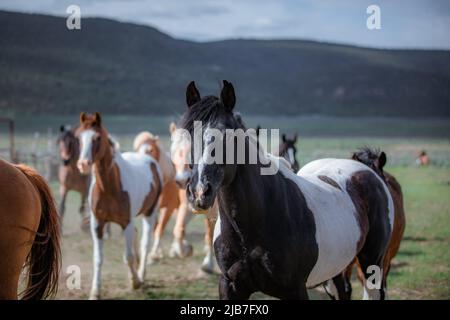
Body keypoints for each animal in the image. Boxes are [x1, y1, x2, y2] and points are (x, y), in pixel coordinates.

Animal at [75, 112, 162, 300]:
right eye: (78, 137)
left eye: (97, 137)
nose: (83, 164)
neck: (109, 187)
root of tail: (150, 160)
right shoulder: (98, 224)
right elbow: (98, 258)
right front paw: (95, 292)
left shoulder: (126, 222)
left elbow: (128, 256)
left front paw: (135, 282)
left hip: (150, 213)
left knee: (144, 242)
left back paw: (141, 275)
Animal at [179, 80, 394, 300]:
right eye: (188, 133)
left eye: (227, 135)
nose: (199, 192)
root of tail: (369, 171)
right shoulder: (230, 285)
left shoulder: (295, 290)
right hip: (335, 270)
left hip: (372, 263)